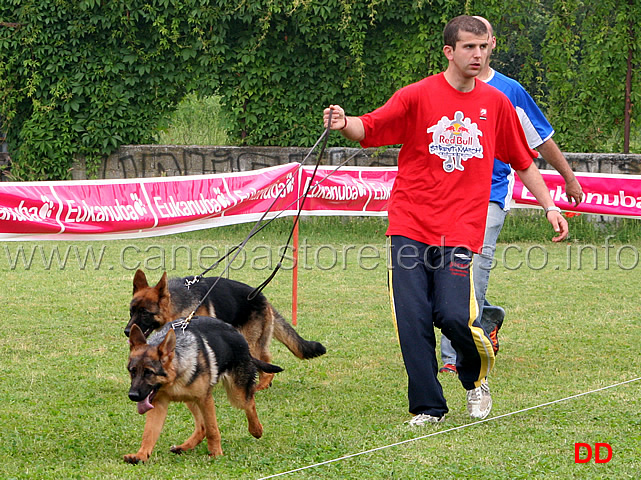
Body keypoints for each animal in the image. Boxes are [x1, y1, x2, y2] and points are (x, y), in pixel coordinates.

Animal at [124, 316, 282, 464]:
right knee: (202, 427)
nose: (132, 395)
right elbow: (149, 433)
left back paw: (256, 429)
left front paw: (216, 454)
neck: (175, 376)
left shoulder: (205, 399)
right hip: (191, 400)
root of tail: (236, 333)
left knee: (249, 404)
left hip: (236, 394)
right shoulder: (159, 405)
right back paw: (184, 447)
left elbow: (212, 429)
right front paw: (141, 455)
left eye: (149, 372)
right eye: (132, 371)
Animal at [125, 270, 324, 390]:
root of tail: (263, 298)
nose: (127, 331)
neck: (179, 304)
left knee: (265, 365)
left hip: (250, 343)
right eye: (131, 311)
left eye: (145, 313)